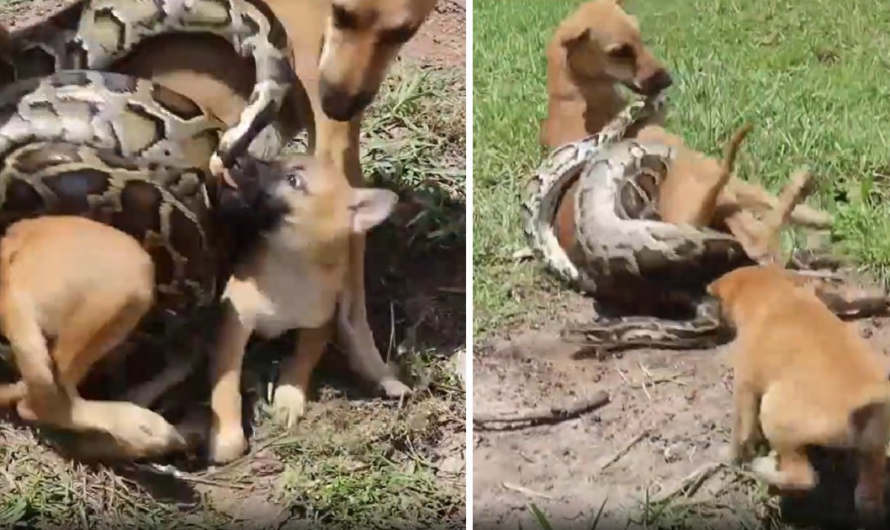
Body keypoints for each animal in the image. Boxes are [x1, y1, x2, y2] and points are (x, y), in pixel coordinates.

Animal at [708, 264, 888, 524]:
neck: (775, 294)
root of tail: (864, 407)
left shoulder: (744, 387)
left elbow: (740, 433)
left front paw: (730, 456)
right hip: (873, 451)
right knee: (867, 496)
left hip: (774, 415)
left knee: (805, 478)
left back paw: (765, 469)